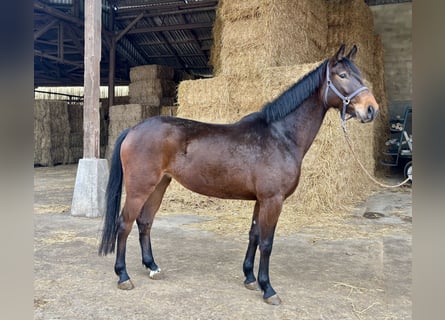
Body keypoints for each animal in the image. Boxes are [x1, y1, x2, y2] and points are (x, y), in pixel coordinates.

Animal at [98, 44, 378, 304]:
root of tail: (134, 129)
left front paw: (250, 278)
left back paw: (152, 267)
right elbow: (267, 243)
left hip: (160, 185)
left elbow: (254, 235)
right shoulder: (273, 200)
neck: (280, 136)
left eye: (360, 75)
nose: (371, 109)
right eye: (342, 75)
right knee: (124, 224)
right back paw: (123, 276)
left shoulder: (261, 201)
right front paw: (268, 289)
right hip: (140, 188)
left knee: (145, 222)